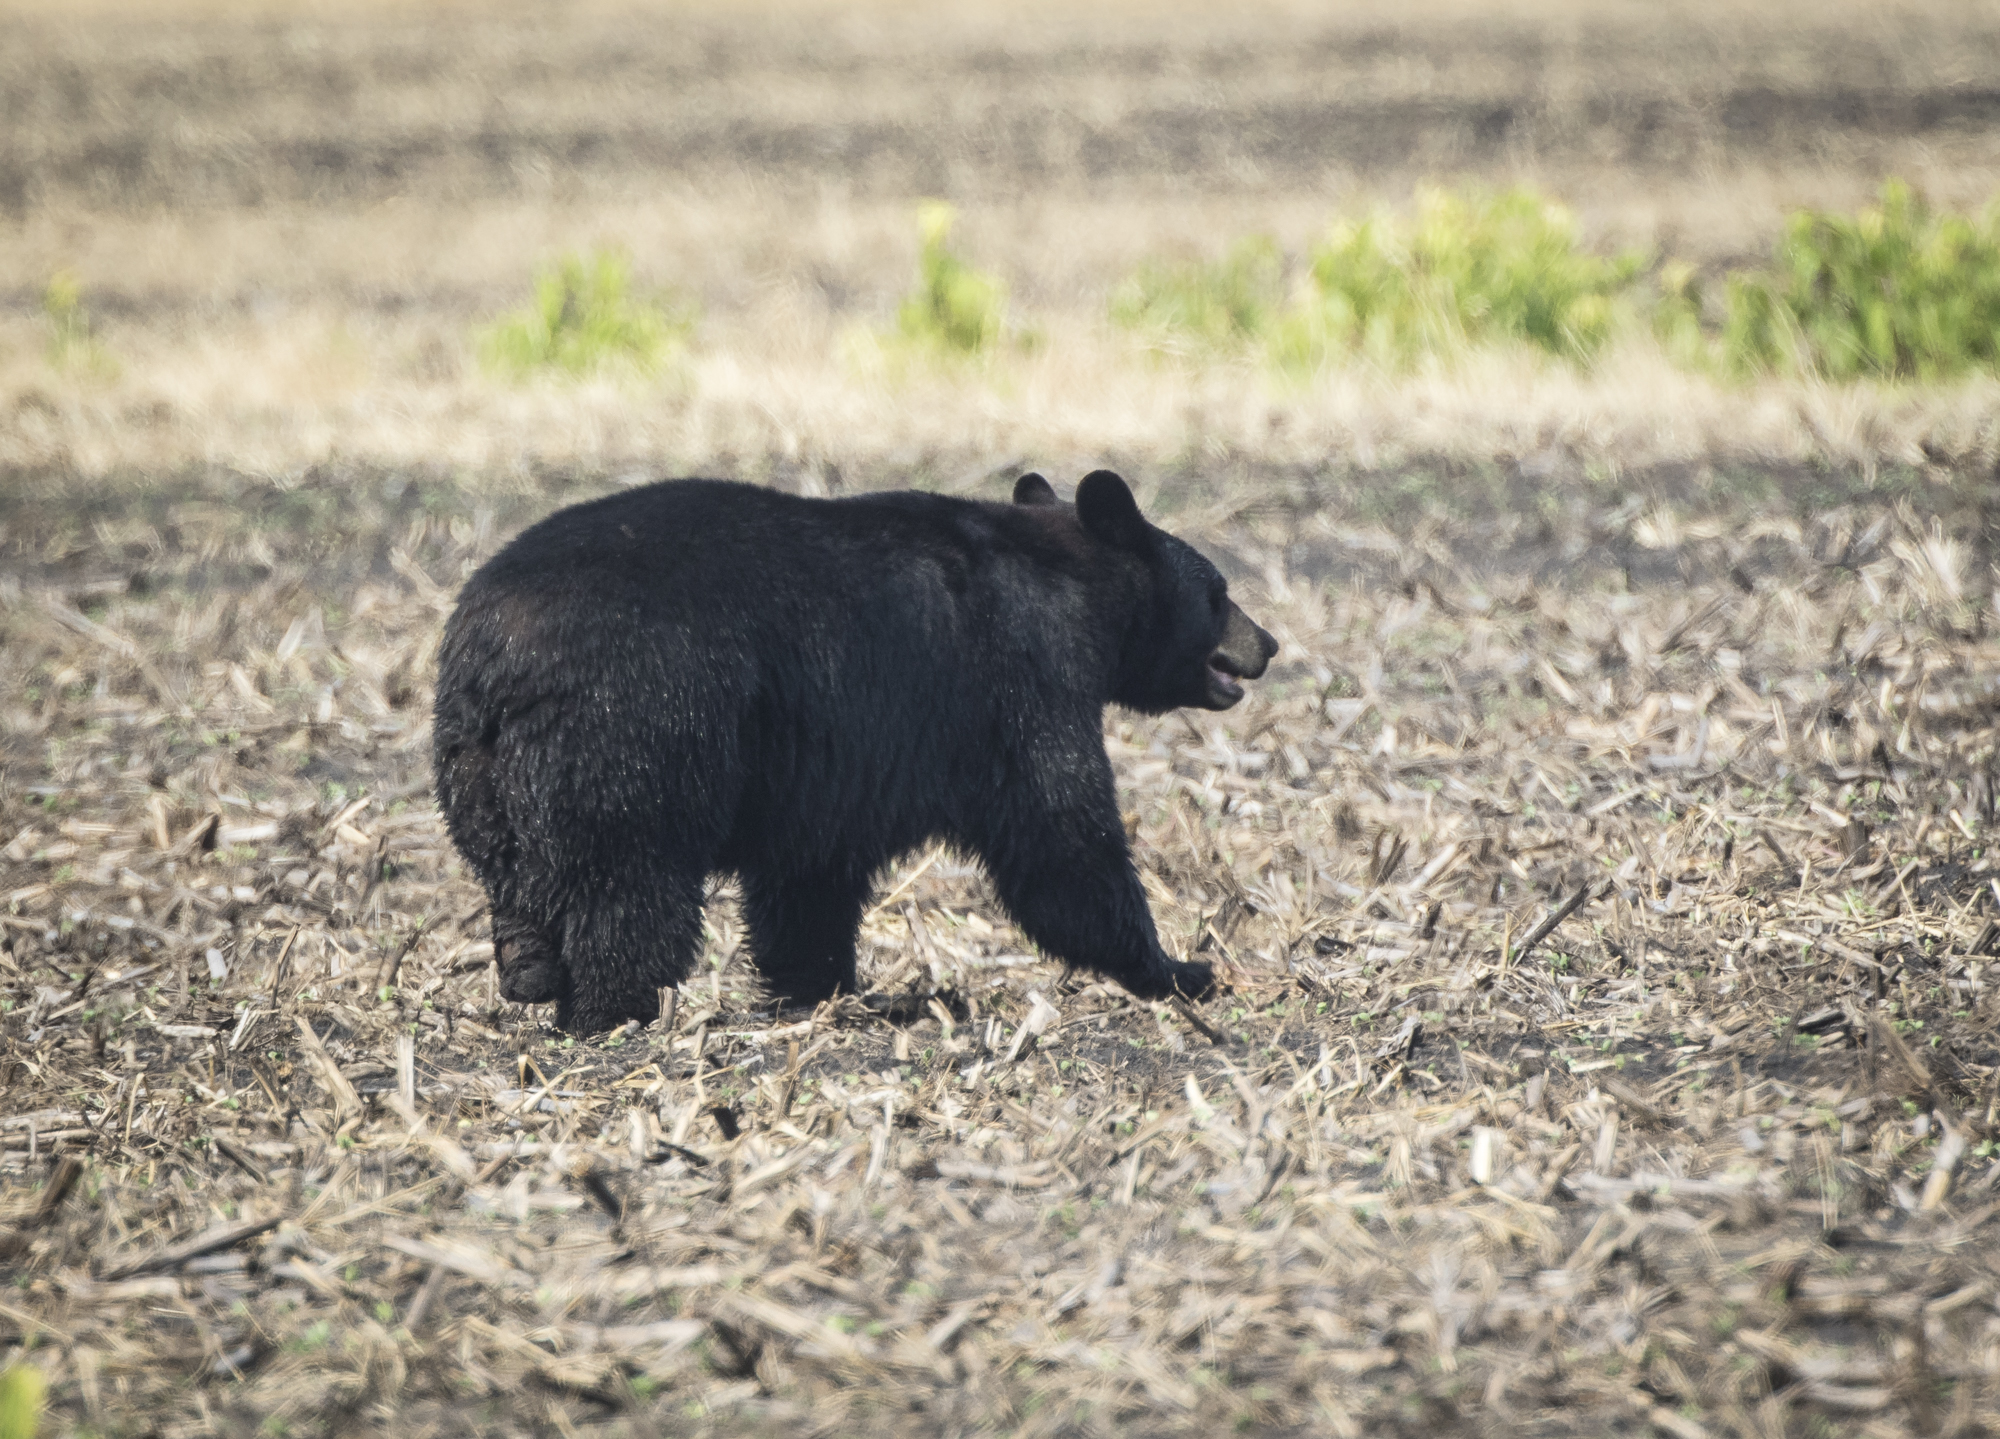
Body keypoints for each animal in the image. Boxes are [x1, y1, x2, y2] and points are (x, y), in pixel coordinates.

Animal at [432, 469, 1278, 1034]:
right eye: (1218, 589)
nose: (1267, 642)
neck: (1072, 585)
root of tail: (491, 653)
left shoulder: (831, 767)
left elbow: (810, 877)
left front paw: (825, 990)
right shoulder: (1019, 681)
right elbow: (1061, 838)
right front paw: (1183, 968)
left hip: (479, 771)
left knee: (519, 876)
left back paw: (531, 973)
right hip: (638, 725)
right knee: (629, 881)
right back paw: (614, 1009)